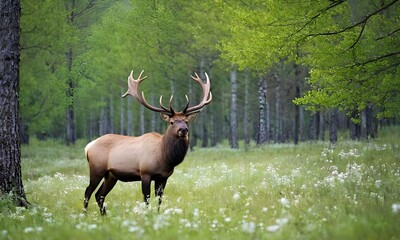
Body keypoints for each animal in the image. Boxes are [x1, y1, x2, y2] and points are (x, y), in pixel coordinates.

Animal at [83, 69, 212, 214]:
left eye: (186, 121)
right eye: (172, 122)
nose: (183, 130)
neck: (165, 158)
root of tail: (88, 146)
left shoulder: (163, 177)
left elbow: (159, 200)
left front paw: (157, 214)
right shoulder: (145, 173)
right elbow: (147, 199)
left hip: (111, 175)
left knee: (99, 195)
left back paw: (104, 215)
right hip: (96, 168)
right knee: (88, 191)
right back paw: (85, 214)